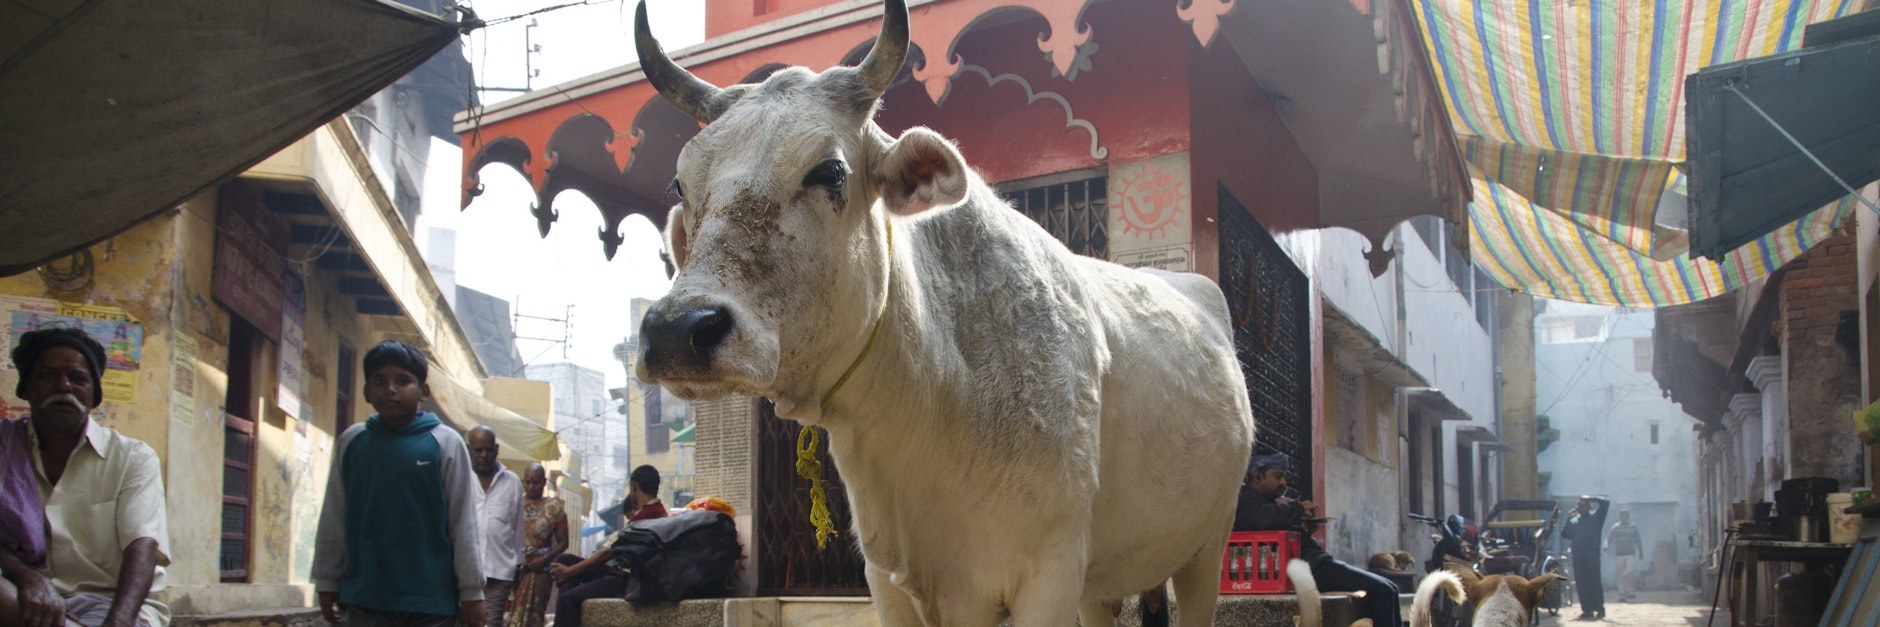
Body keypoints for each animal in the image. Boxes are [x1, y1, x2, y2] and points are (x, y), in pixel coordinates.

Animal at [632, 0, 1255, 624]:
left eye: (830, 171)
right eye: (681, 184)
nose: (677, 330)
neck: (936, 390)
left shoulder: (1049, 574)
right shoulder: (888, 580)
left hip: (1206, 547)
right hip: (1103, 586)